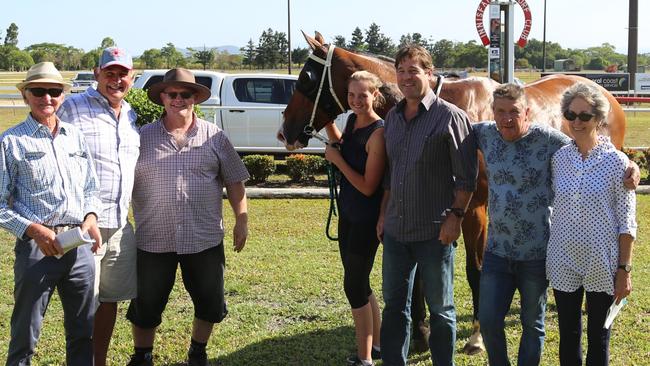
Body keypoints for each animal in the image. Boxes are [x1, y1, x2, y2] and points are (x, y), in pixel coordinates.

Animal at [278, 33, 624, 354]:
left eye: (306, 78)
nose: (284, 131)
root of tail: (608, 95)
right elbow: (418, 274)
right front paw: (420, 333)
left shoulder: (473, 211)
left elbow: (475, 271)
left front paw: (476, 336)